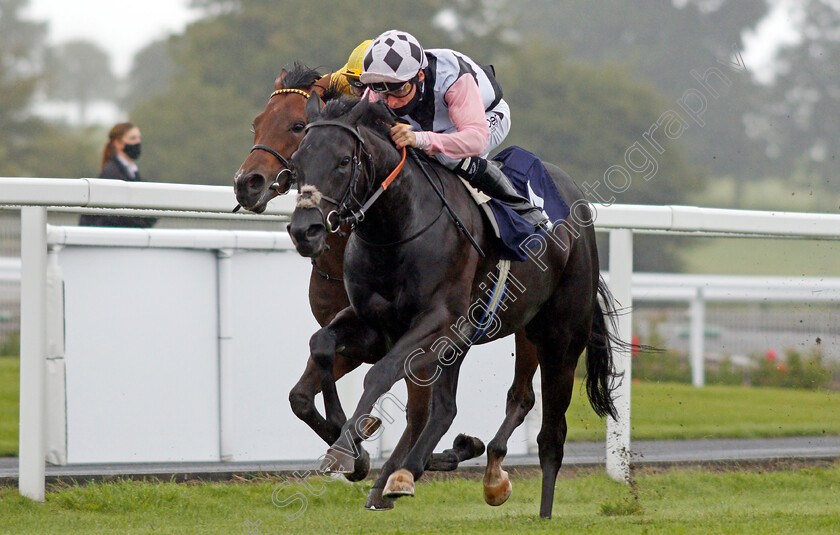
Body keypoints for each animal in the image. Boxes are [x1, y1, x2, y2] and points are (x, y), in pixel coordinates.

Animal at [288, 96, 624, 520]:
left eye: (344, 161)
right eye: (296, 161)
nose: (305, 231)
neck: (397, 227)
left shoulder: (439, 321)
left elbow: (380, 376)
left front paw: (348, 450)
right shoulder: (375, 326)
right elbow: (321, 345)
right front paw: (351, 444)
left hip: (558, 341)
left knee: (551, 435)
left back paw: (539, 510)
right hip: (488, 336)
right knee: (455, 406)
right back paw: (417, 471)